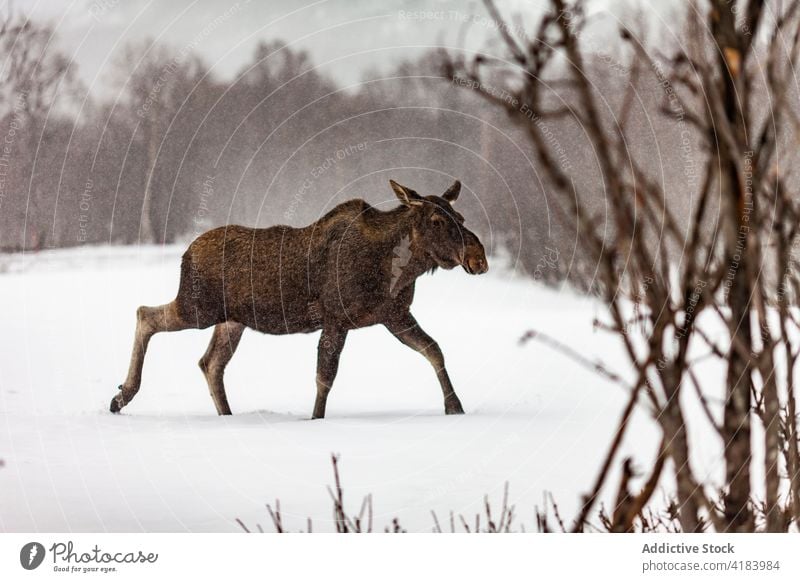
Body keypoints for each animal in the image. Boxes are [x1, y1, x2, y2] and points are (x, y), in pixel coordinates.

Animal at [111, 180, 488, 418]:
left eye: (461, 217)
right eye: (437, 220)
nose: (478, 258)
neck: (398, 268)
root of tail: (185, 254)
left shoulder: (393, 315)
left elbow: (434, 350)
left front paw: (455, 407)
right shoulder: (337, 318)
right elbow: (325, 376)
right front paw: (315, 420)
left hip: (231, 320)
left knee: (210, 362)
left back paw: (227, 415)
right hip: (198, 308)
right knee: (145, 314)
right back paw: (122, 395)